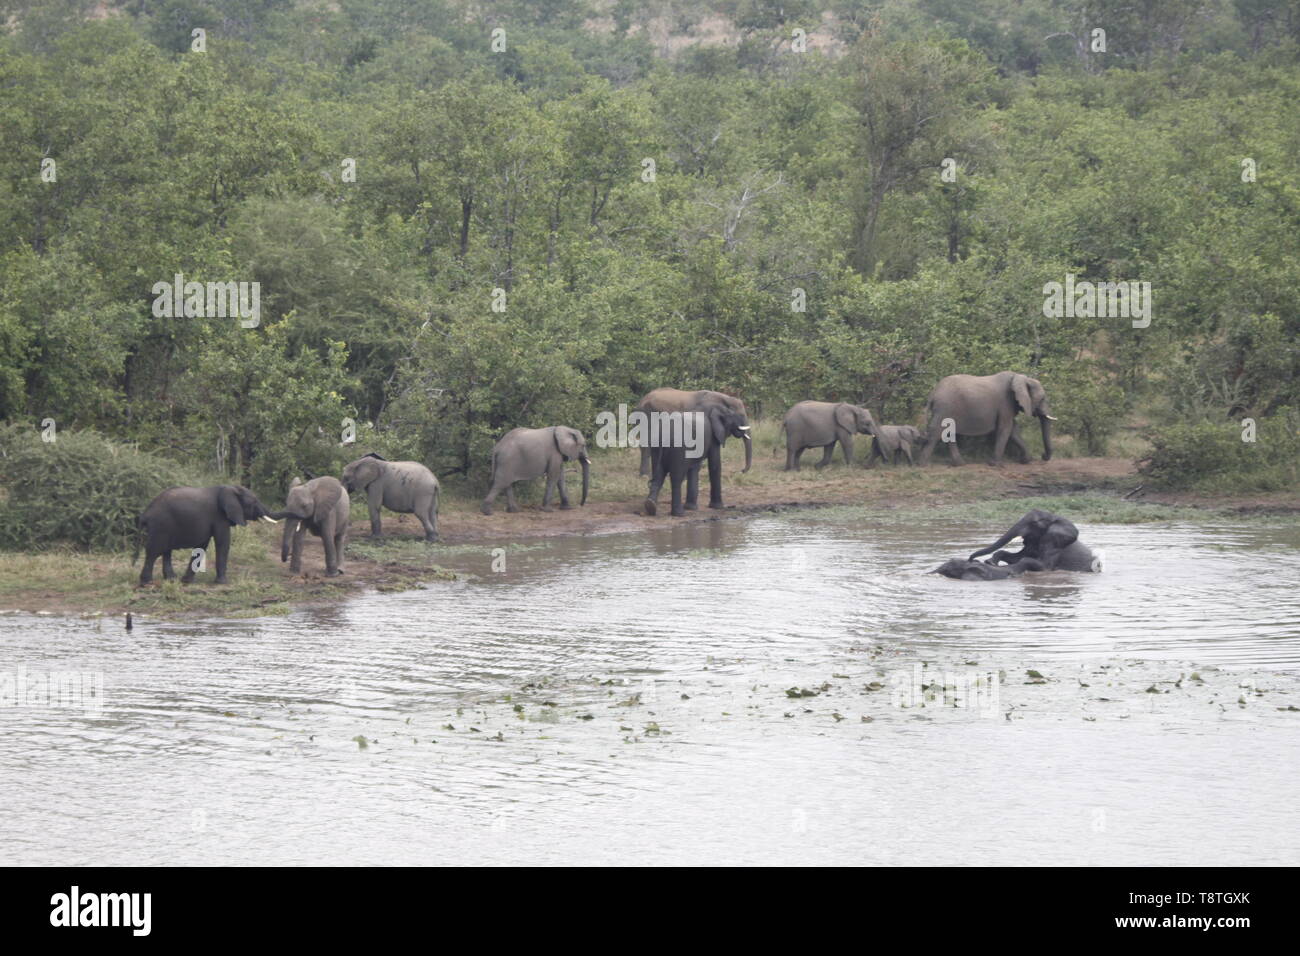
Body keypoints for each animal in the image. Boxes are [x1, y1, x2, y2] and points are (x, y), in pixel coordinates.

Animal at [136, 481, 276, 587]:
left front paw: (186, 581)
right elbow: (223, 543)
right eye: (254, 502)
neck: (229, 488)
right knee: (153, 552)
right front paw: (222, 583)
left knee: (166, 551)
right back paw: (147, 583)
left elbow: (201, 545)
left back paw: (171, 580)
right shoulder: (219, 516)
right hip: (160, 525)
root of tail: (146, 513)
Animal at [915, 369, 1055, 468]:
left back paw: (960, 464)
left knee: (949, 433)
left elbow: (1013, 430)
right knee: (936, 432)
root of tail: (933, 393)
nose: (1043, 456)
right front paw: (995, 465)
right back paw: (923, 465)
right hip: (944, 408)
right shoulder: (1005, 403)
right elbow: (1005, 429)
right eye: (1042, 399)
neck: (1021, 378)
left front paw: (1026, 460)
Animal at [967, 512, 1097, 572]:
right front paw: (991, 562)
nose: (971, 560)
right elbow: (1016, 557)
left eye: (1034, 523)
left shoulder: (1054, 542)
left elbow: (1043, 566)